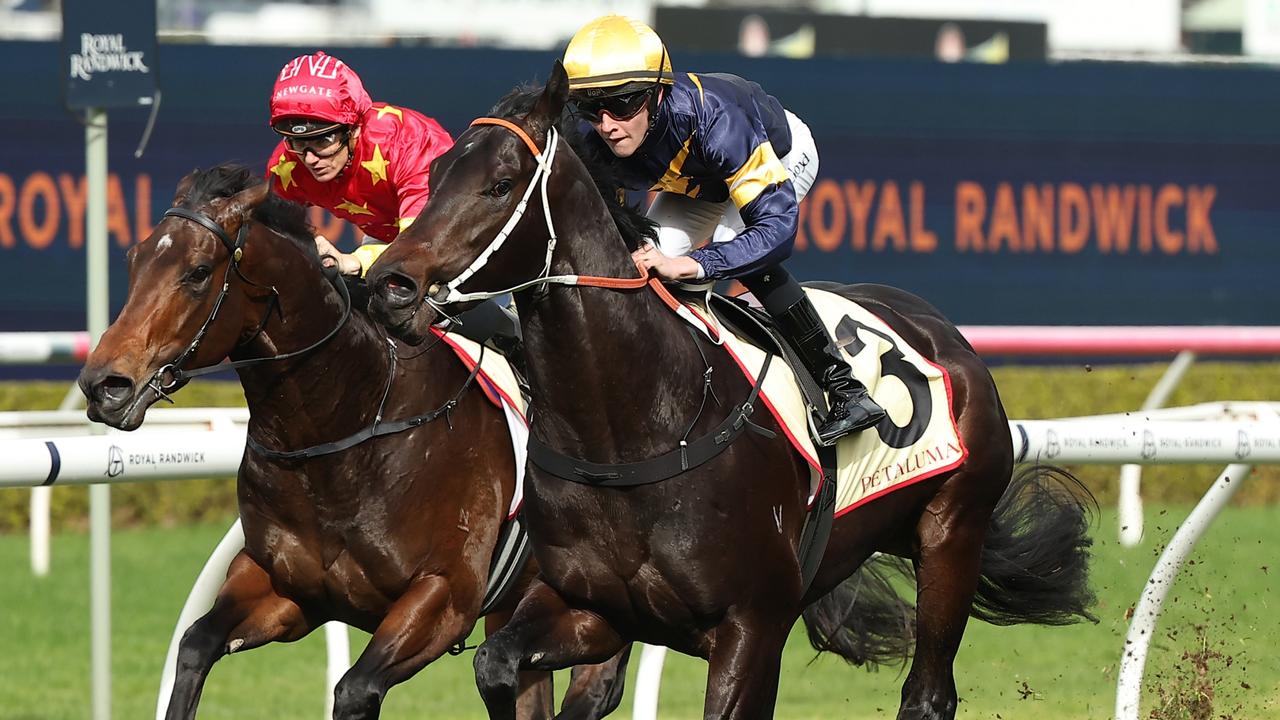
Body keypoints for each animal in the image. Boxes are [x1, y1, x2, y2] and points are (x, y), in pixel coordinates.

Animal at [77, 163, 627, 717]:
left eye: (197, 271)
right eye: (134, 259)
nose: (104, 385)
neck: (345, 430)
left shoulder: (444, 596)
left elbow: (354, 688)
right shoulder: (288, 590)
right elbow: (195, 644)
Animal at [366, 68, 1095, 717]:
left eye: (499, 184)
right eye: (434, 177)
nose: (390, 286)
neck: (631, 428)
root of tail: (947, 335)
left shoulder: (751, 625)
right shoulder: (598, 609)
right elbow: (496, 664)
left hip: (951, 535)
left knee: (928, 694)